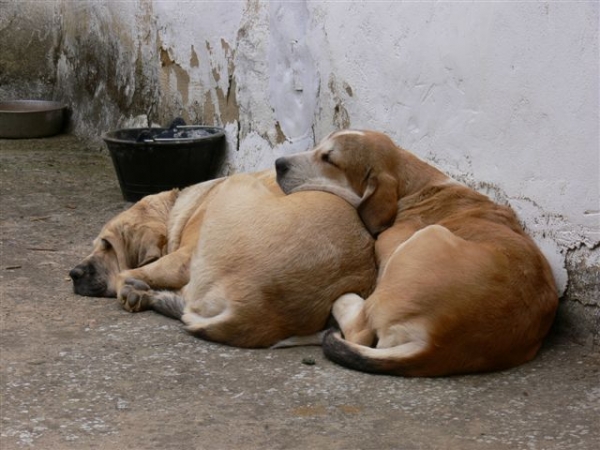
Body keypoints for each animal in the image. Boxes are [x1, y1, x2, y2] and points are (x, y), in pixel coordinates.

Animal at [70, 171, 376, 346]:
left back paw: (136, 292)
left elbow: (130, 272)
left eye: (107, 245)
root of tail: (252, 306)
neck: (180, 206)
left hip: (237, 185)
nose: (73, 274)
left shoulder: (184, 256)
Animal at [274, 130, 560, 376]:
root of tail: (439, 346)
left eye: (328, 159)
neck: (411, 185)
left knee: (359, 330)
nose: (278, 164)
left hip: (429, 236)